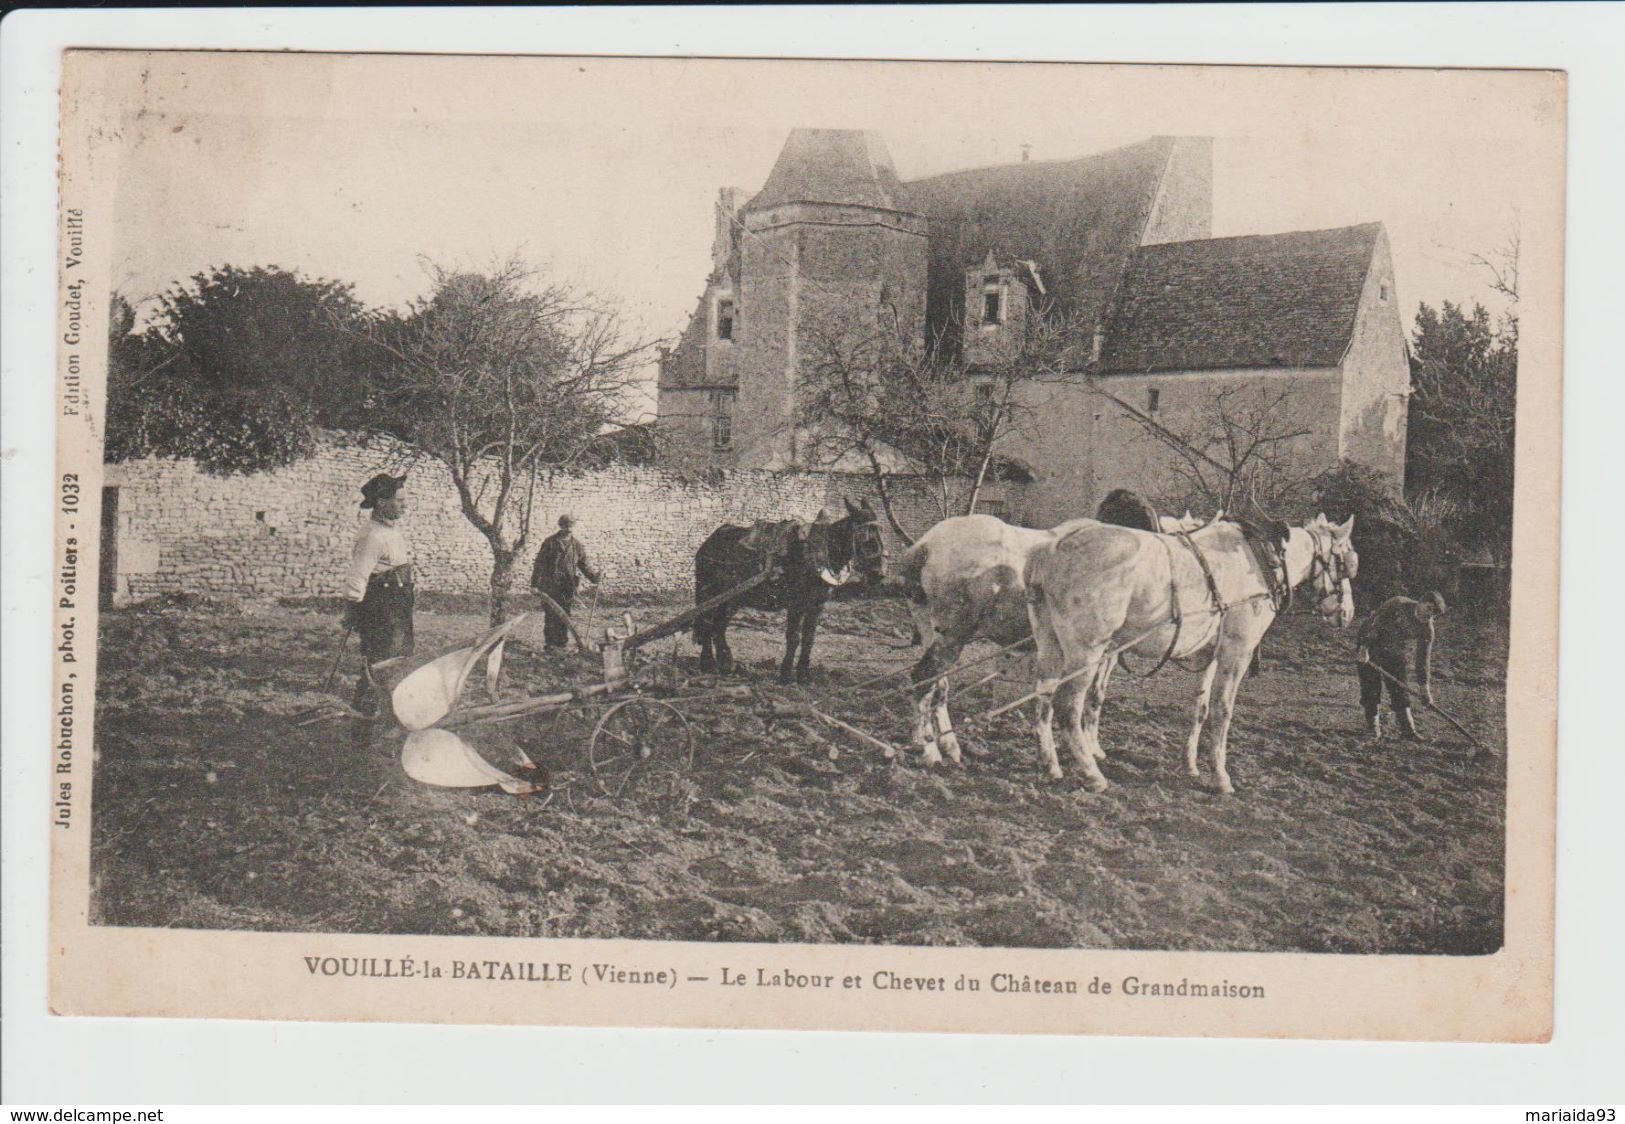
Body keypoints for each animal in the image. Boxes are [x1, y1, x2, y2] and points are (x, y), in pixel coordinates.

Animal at [689, 497, 884, 678]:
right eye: (866, 537)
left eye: (880, 534)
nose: (879, 574)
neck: (818, 552)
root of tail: (709, 542)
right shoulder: (796, 604)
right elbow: (793, 637)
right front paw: (786, 674)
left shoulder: (816, 605)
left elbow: (808, 638)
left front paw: (803, 674)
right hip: (709, 592)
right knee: (706, 624)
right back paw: (708, 663)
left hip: (731, 598)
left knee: (718, 627)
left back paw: (725, 663)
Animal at [1027, 513, 1358, 795]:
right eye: (1346, 563)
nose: (1348, 613)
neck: (1261, 560)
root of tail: (1055, 547)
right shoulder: (1237, 651)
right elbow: (1223, 710)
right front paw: (1221, 777)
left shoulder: (1209, 654)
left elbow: (1200, 708)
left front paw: (1190, 765)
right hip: (1088, 651)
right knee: (1068, 705)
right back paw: (1091, 773)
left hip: (1051, 645)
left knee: (1043, 698)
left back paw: (1051, 765)